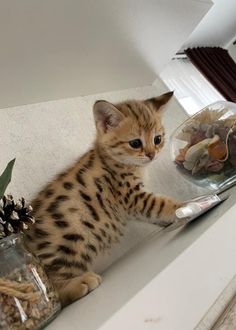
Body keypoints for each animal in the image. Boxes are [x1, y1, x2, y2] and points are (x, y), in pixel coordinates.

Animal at [24, 91, 183, 306]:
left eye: (158, 139)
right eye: (135, 143)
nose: (152, 154)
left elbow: (156, 214)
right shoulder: (134, 197)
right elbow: (163, 204)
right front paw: (188, 205)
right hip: (69, 238)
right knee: (53, 292)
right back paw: (79, 283)